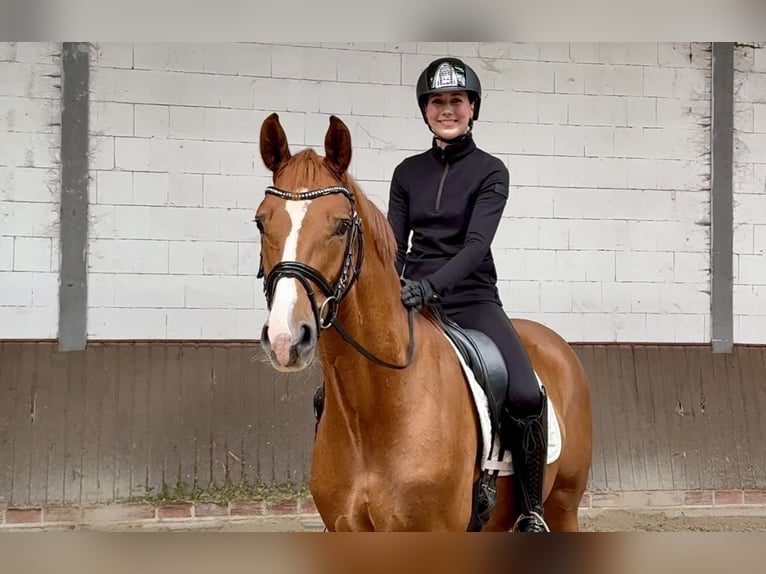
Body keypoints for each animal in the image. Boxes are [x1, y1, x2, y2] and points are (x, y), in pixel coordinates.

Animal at [254, 112, 593, 532]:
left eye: (341, 225)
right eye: (261, 223)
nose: (286, 338)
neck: (376, 408)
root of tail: (553, 341)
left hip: (563, 505)